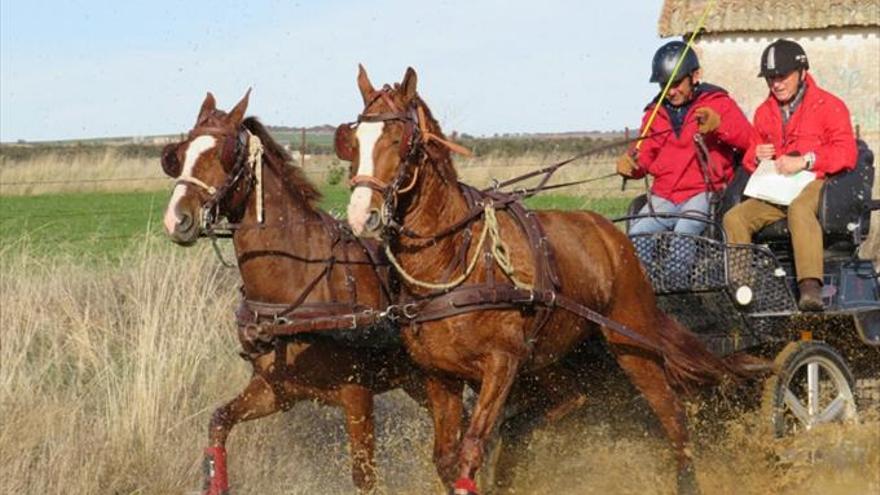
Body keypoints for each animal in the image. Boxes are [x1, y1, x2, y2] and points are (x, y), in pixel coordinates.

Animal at [162, 91, 422, 494]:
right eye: (180, 152)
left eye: (225, 153)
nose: (177, 218)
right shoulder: (276, 390)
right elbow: (218, 422)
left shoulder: (358, 397)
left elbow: (364, 478)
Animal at [340, 67, 752, 495]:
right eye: (354, 141)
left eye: (399, 140)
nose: (360, 215)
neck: (454, 258)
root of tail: (613, 235)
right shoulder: (440, 375)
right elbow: (446, 457)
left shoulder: (501, 363)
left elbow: (472, 447)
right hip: (554, 358)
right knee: (570, 401)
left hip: (632, 341)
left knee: (671, 413)